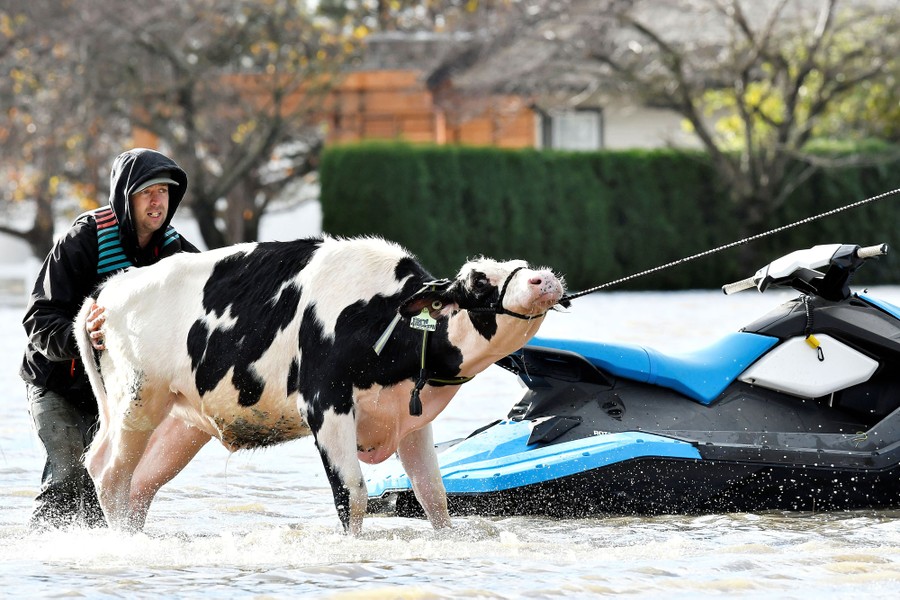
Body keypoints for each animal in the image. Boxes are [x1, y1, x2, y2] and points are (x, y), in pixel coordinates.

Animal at [75, 236, 566, 534]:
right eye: (478, 282)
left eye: (518, 265)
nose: (544, 277)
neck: (385, 320)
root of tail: (108, 290)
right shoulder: (326, 404)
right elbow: (352, 493)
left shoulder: (410, 418)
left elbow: (434, 495)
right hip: (137, 401)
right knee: (109, 471)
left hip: (181, 421)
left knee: (140, 482)